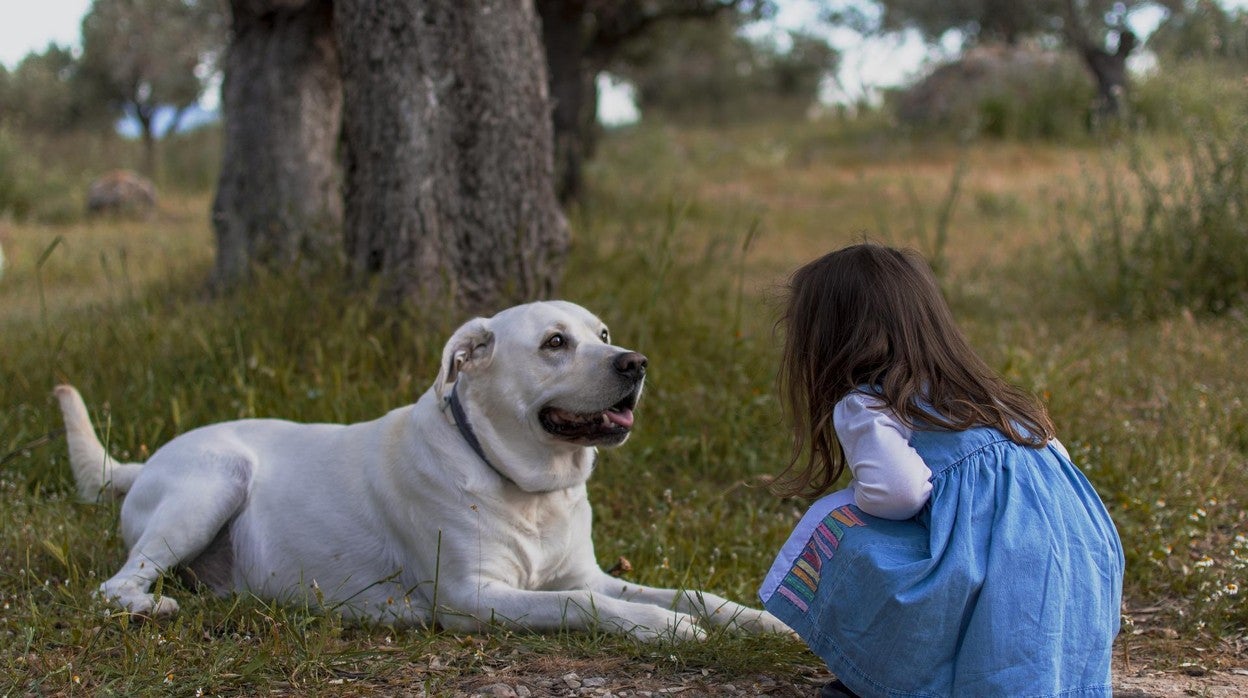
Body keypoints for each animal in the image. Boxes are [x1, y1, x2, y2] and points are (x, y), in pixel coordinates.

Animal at [58, 300, 788, 639]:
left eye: (602, 335)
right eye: (555, 343)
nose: (635, 363)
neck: (527, 488)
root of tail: (143, 462)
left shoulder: (588, 572)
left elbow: (689, 592)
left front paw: (757, 621)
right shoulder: (474, 597)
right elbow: (583, 605)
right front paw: (664, 629)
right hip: (214, 481)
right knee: (115, 585)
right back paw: (147, 607)